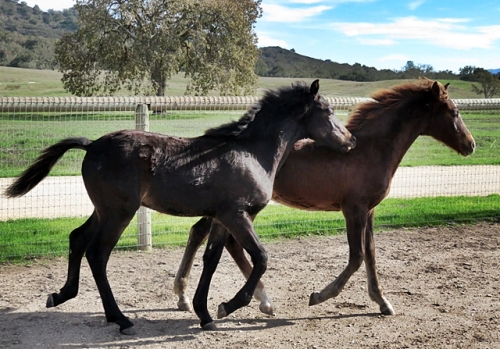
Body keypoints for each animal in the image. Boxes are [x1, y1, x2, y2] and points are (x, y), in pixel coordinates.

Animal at [3, 80, 356, 334]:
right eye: (327, 111)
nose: (350, 141)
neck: (251, 153)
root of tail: (91, 145)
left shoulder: (220, 217)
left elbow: (211, 259)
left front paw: (204, 312)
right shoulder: (237, 215)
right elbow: (261, 258)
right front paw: (228, 305)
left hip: (103, 210)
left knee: (77, 238)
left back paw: (61, 295)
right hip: (119, 212)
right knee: (97, 254)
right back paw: (121, 319)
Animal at [174, 78, 474, 324]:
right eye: (455, 112)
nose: (471, 145)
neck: (368, 150)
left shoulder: (369, 211)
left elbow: (371, 255)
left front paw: (382, 302)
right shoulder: (353, 210)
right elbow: (356, 257)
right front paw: (319, 296)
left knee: (204, 233)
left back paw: (190, 297)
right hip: (239, 208)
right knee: (224, 241)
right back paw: (251, 301)